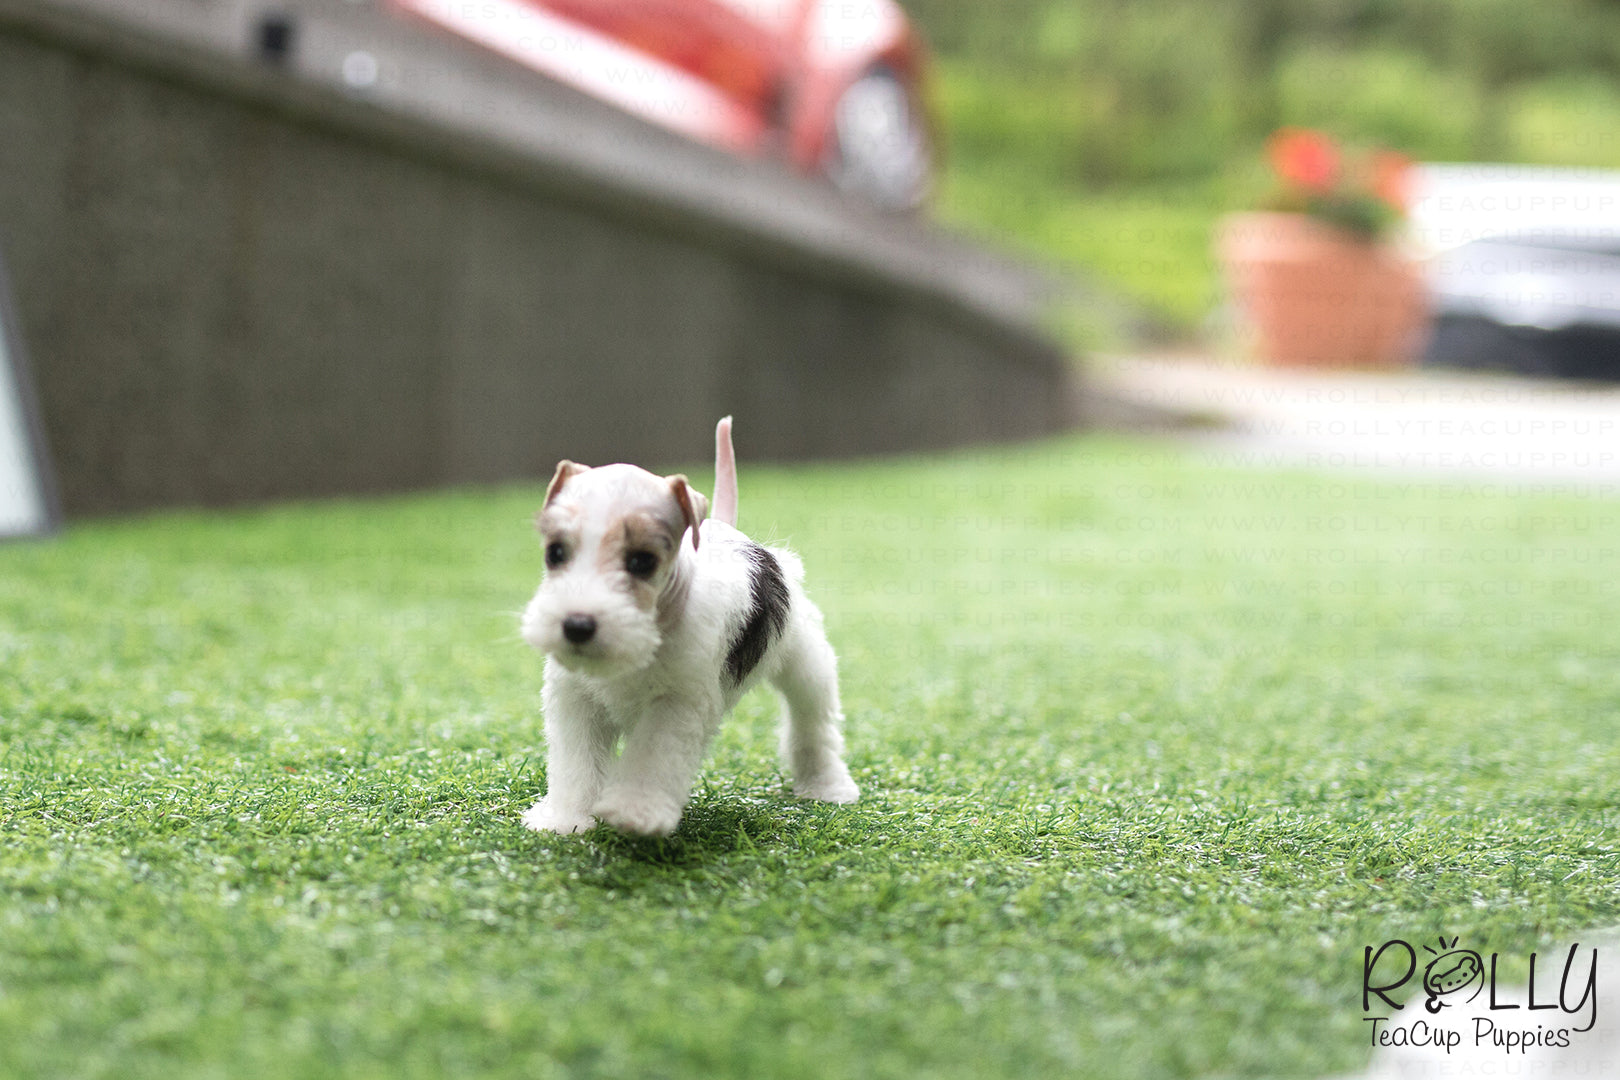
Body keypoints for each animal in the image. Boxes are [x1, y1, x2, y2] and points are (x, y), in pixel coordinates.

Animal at [524, 420, 868, 835]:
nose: (576, 626)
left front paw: (637, 811)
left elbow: (653, 756)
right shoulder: (575, 698)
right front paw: (566, 819)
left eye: (642, 560)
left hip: (807, 665)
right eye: (555, 552)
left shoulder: (677, 703)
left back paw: (828, 786)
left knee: (814, 727)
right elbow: (576, 765)